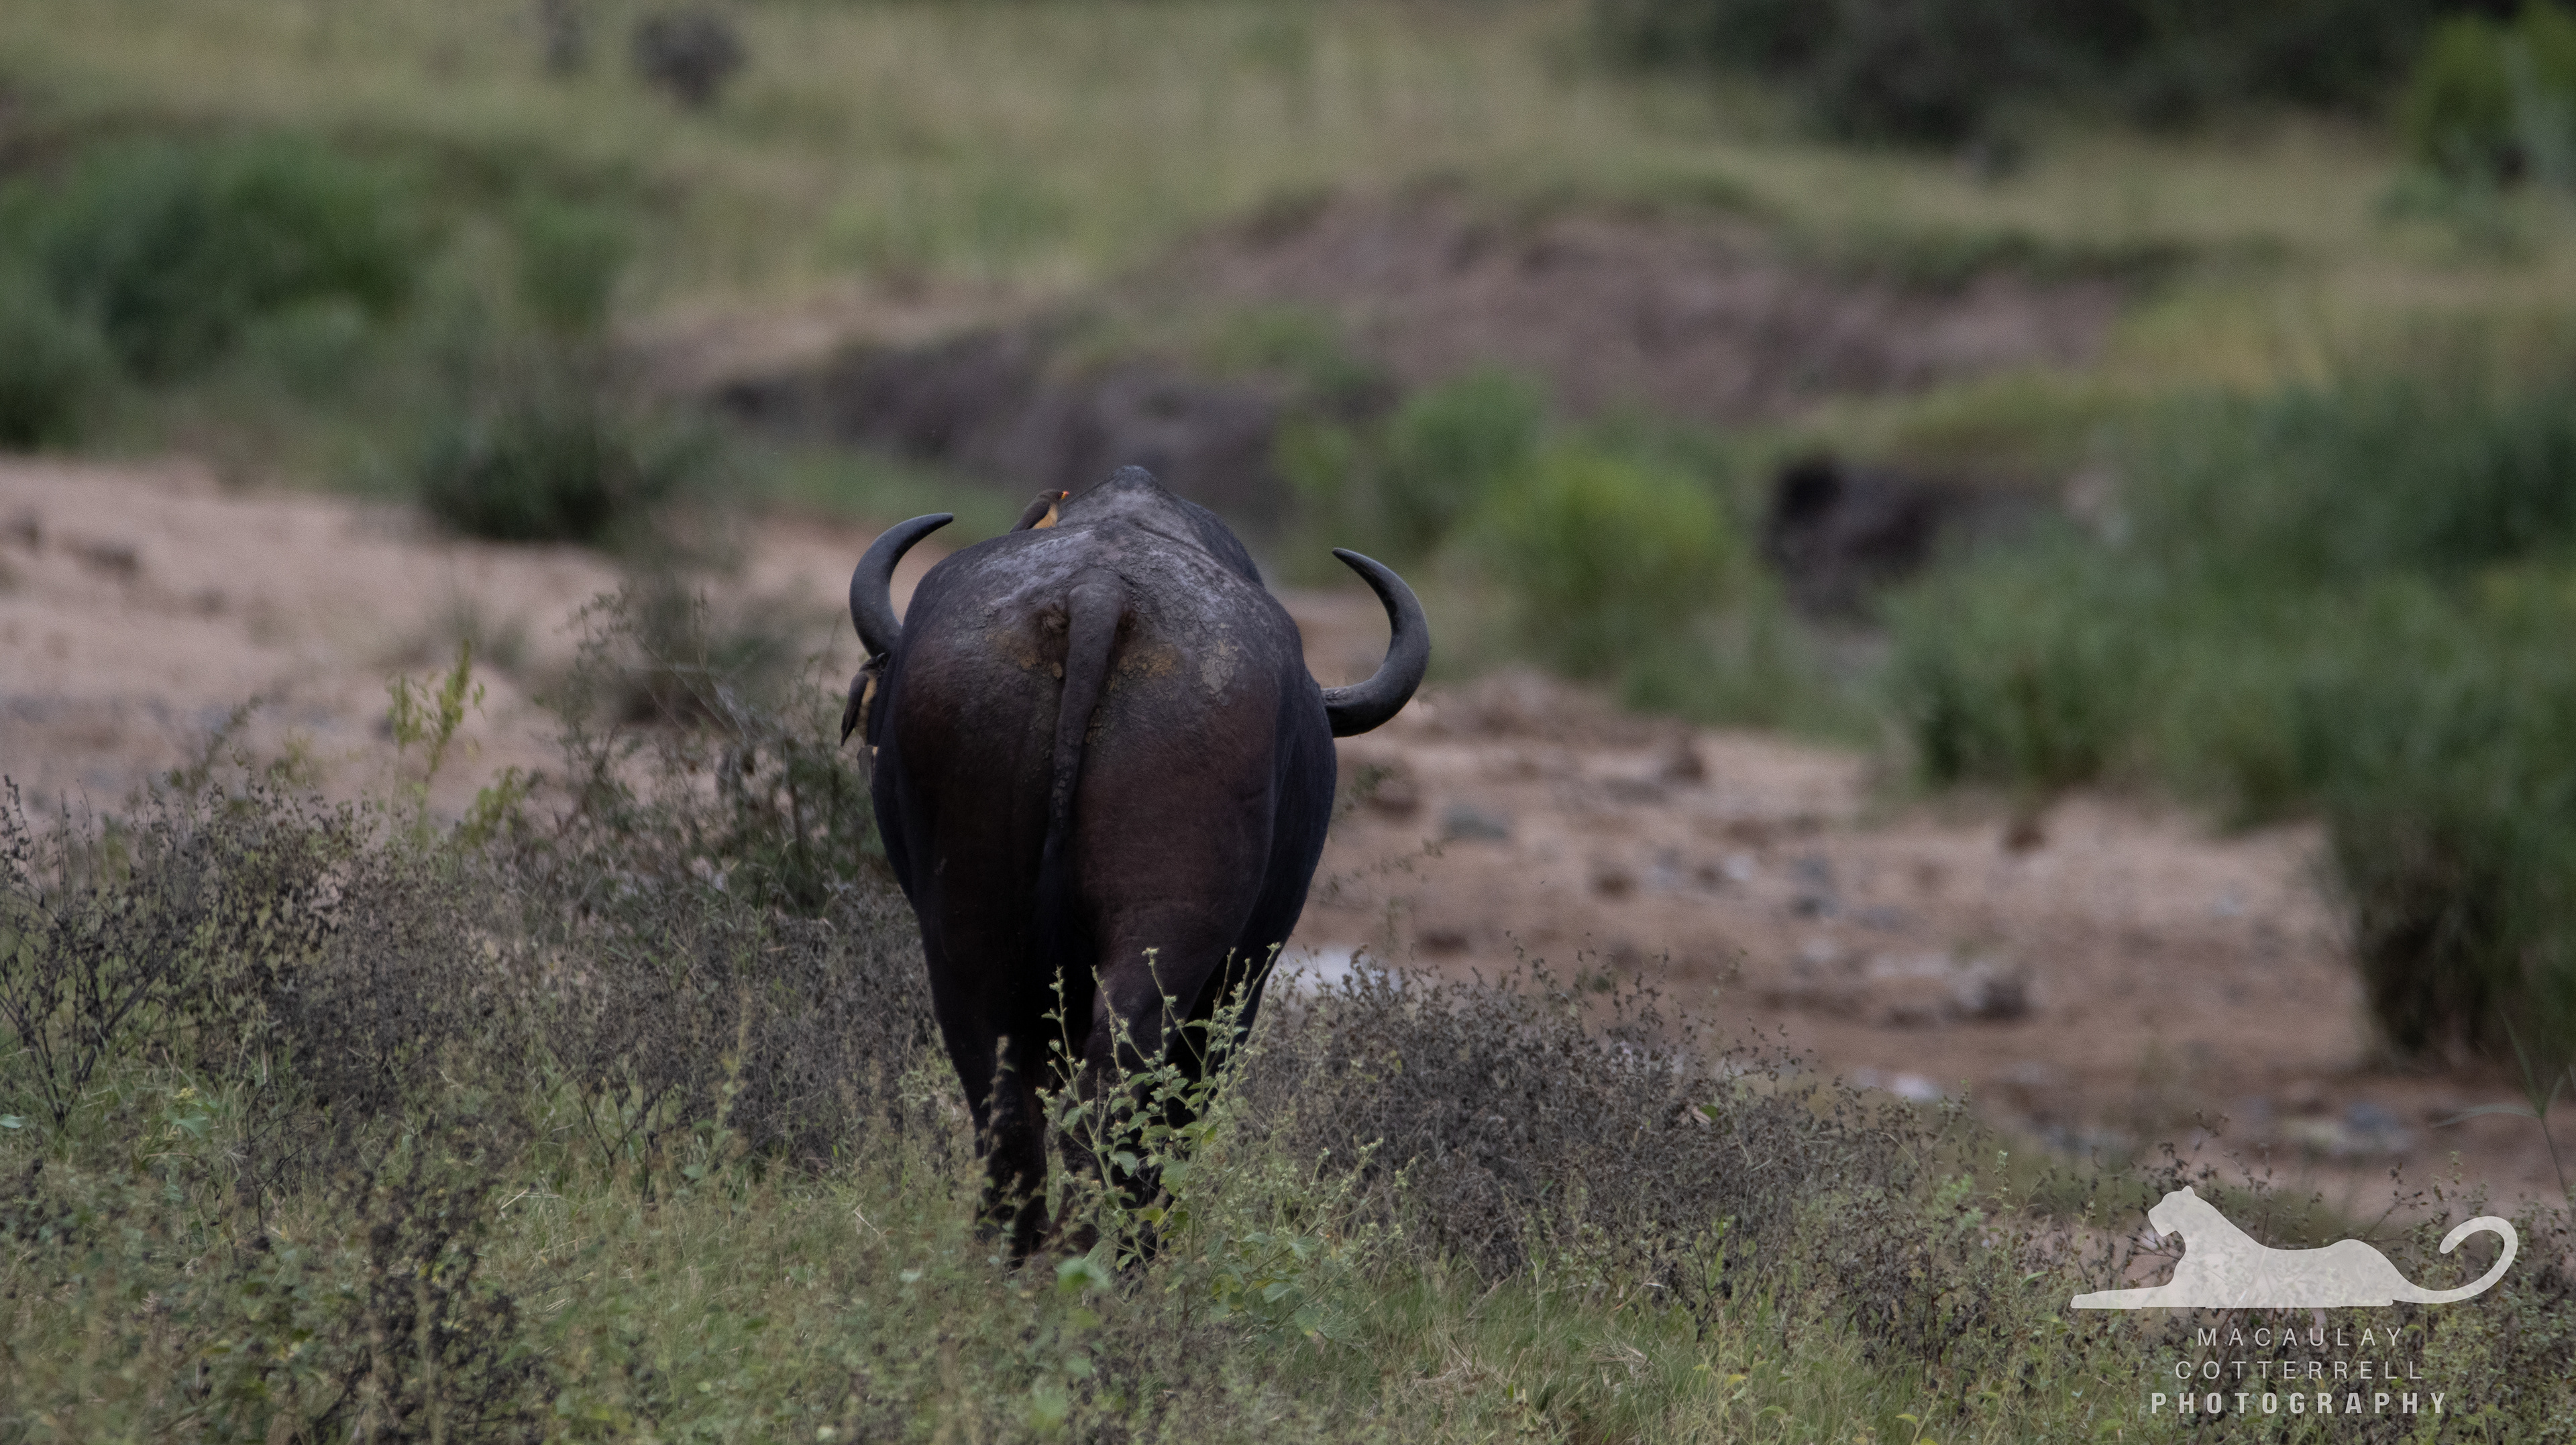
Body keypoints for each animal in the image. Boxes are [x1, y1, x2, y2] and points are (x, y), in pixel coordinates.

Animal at [844, 466, 1426, 1255]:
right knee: (1113, 1104)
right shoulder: (1241, 986)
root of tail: (1097, 594)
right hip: (1168, 948)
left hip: (966, 932)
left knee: (1006, 1107)